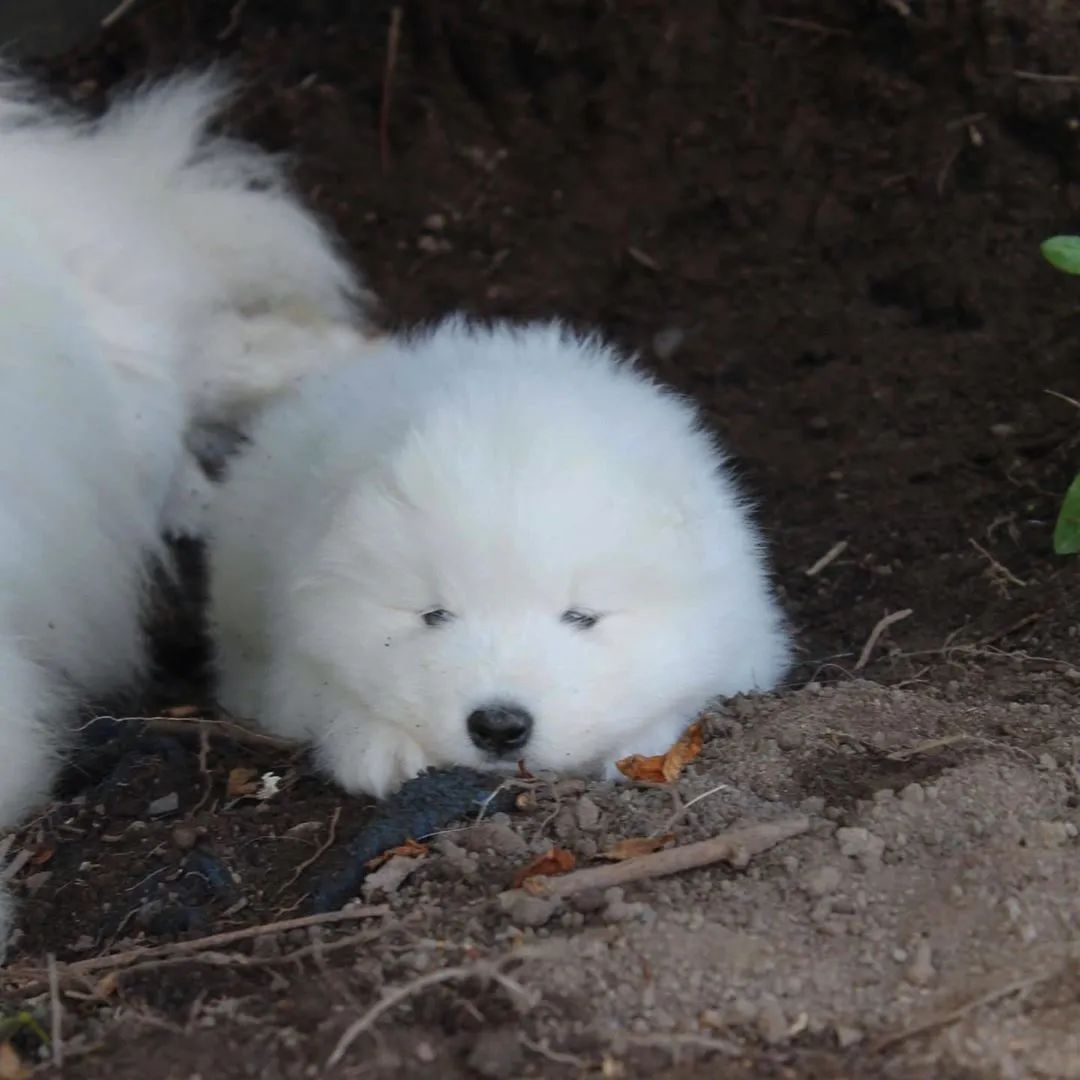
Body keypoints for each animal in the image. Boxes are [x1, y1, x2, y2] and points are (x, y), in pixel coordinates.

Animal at [206, 315, 790, 799]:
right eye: (435, 614)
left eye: (581, 617)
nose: (499, 726)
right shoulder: (301, 650)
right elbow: (334, 694)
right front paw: (379, 749)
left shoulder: (741, 644)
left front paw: (640, 749)